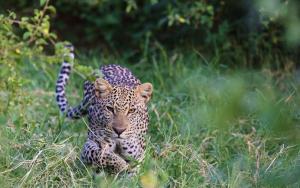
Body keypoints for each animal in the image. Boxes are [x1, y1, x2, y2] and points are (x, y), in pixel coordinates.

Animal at [55, 45, 154, 175]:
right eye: (109, 109)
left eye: (131, 111)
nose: (119, 130)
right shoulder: (89, 145)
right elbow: (101, 155)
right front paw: (120, 165)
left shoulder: (138, 153)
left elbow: (134, 167)